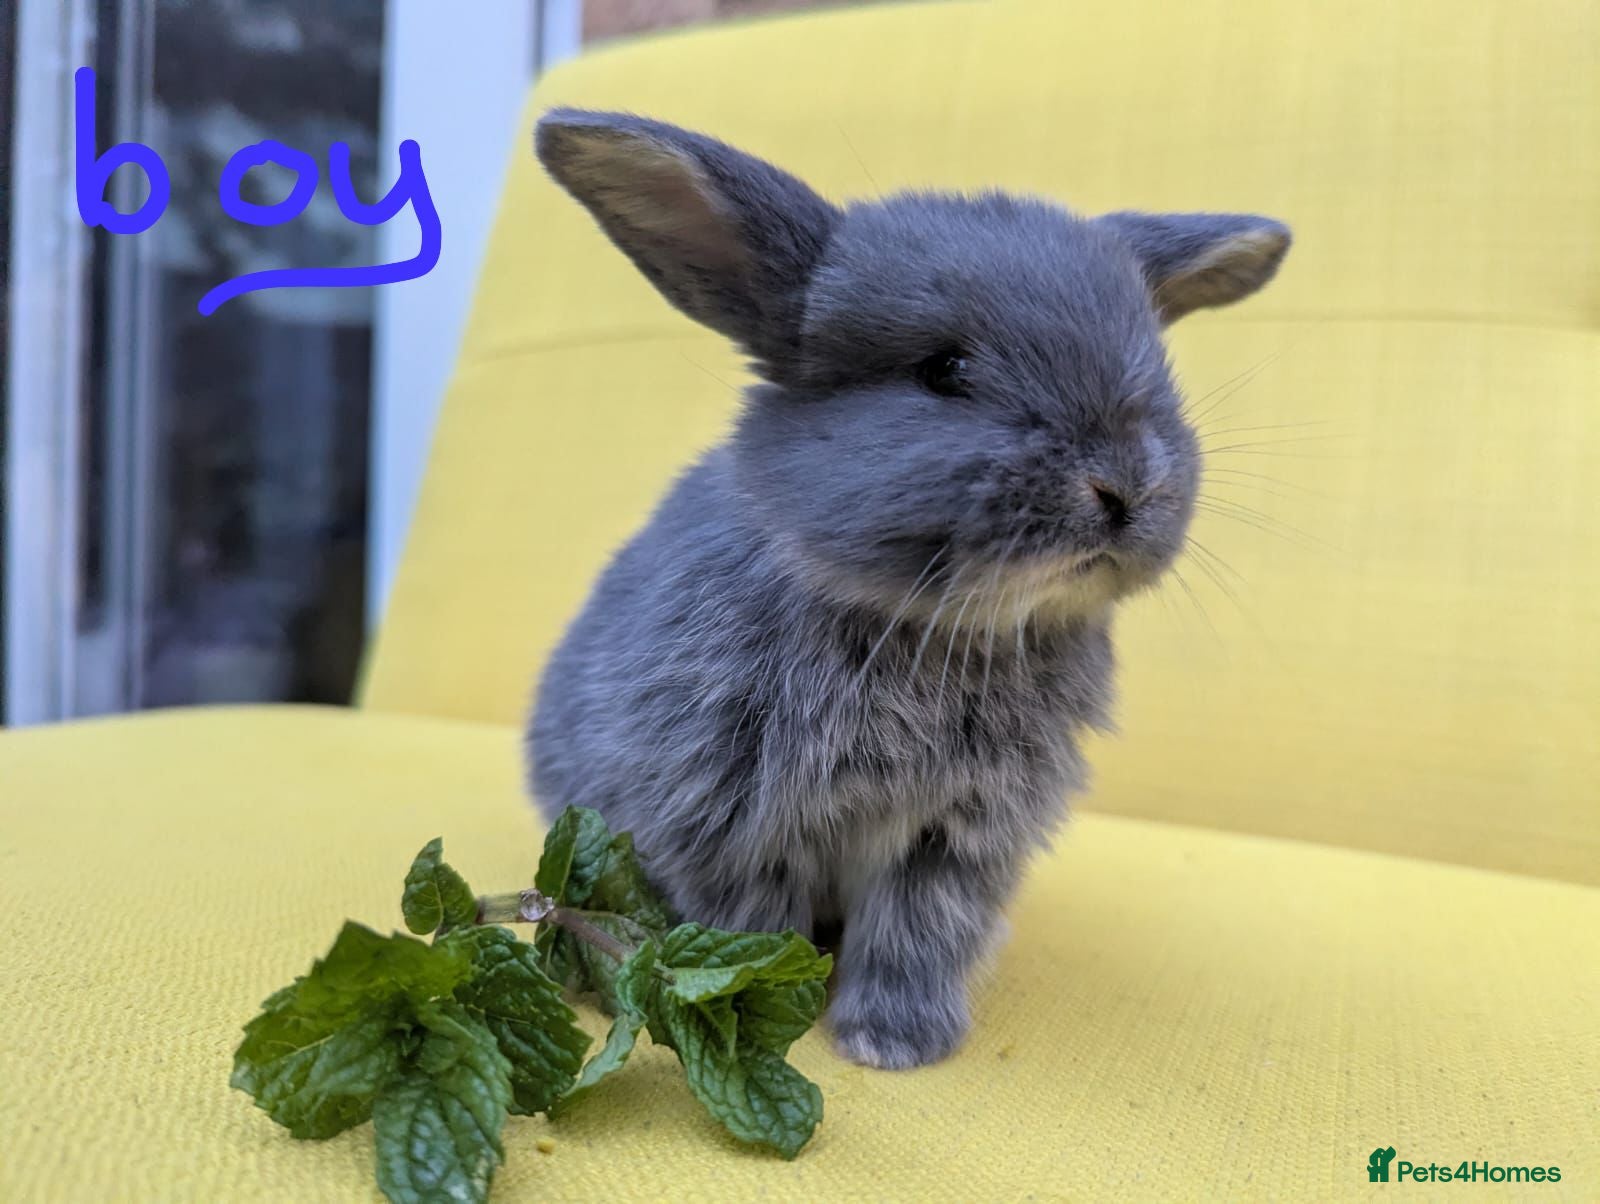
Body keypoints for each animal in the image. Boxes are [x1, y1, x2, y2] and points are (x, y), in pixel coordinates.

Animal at [527, 107, 1290, 1069]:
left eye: (1156, 368)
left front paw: (895, 1041)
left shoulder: (955, 838)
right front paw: (776, 1017)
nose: (1124, 485)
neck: (942, 627)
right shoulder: (727, 817)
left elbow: (916, 931)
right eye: (945, 371)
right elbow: (755, 926)